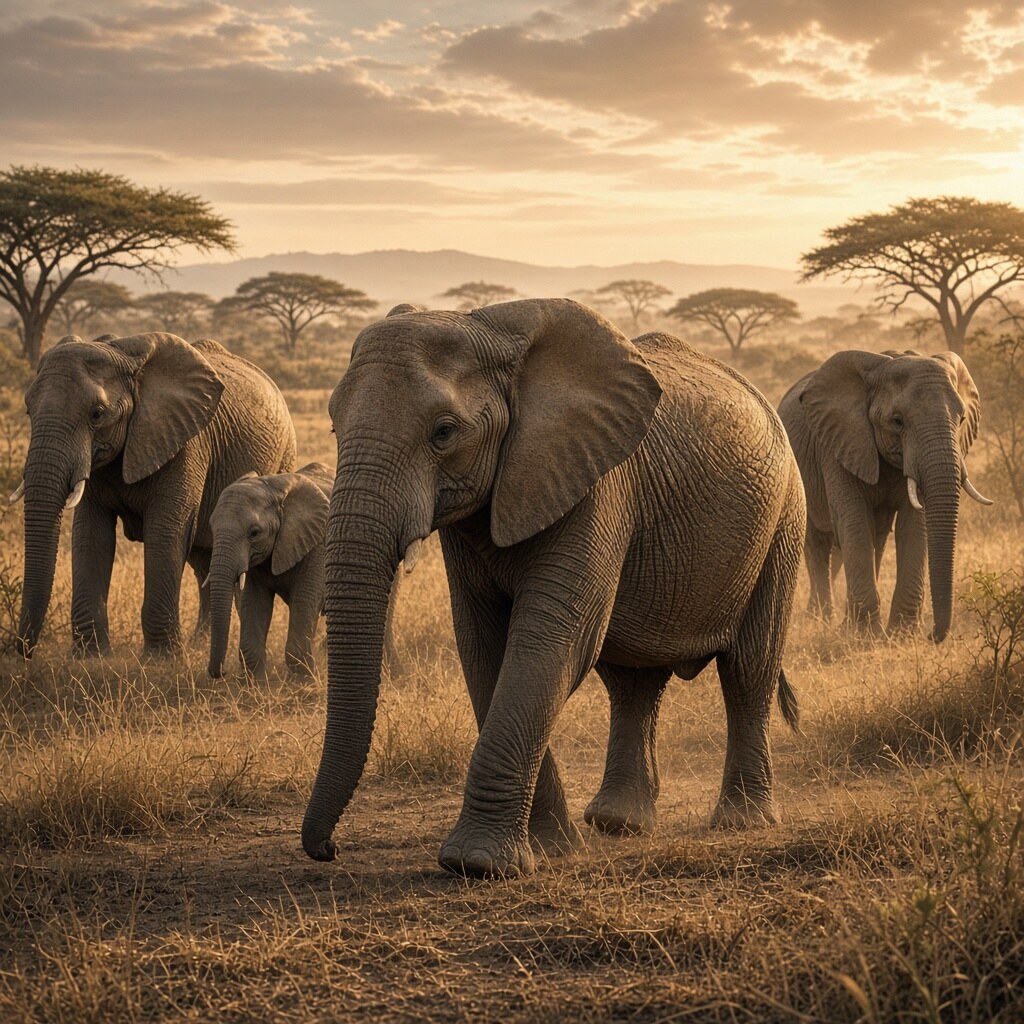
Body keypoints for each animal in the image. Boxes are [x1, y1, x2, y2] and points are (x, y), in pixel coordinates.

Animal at [11, 332, 297, 656]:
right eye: (28, 410)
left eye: (97, 414)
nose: (24, 649)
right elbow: (92, 533)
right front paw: (90, 657)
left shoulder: (186, 442)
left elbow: (165, 531)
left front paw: (162, 659)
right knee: (204, 562)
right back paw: (199, 645)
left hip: (284, 457)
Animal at [207, 463, 332, 680]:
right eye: (212, 528)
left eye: (254, 533)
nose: (222, 672)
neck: (272, 486)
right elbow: (254, 602)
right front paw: (255, 684)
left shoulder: (318, 545)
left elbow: (305, 599)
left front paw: (306, 682)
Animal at [300, 297, 806, 878]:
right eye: (334, 426)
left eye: (444, 432)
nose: (329, 850)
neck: (487, 326)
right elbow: (485, 648)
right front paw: (549, 849)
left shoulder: (597, 486)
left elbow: (548, 645)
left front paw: (477, 865)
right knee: (634, 682)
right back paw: (618, 824)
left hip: (785, 517)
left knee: (749, 665)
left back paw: (741, 822)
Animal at [778, 349, 990, 641]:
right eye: (897, 422)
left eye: (961, 420)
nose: (932, 636)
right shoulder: (838, 444)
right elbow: (854, 521)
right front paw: (864, 636)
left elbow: (913, 526)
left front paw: (901, 635)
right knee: (818, 545)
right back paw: (820, 620)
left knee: (873, 541)